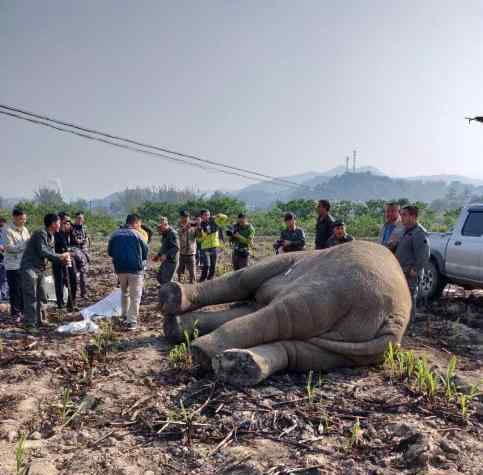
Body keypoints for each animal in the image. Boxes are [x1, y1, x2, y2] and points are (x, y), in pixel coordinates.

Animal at [161, 242, 410, 386]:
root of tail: (393, 319)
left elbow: (243, 281)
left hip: (331, 292)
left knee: (279, 313)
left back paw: (201, 351)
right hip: (353, 349)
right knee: (302, 352)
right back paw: (237, 365)